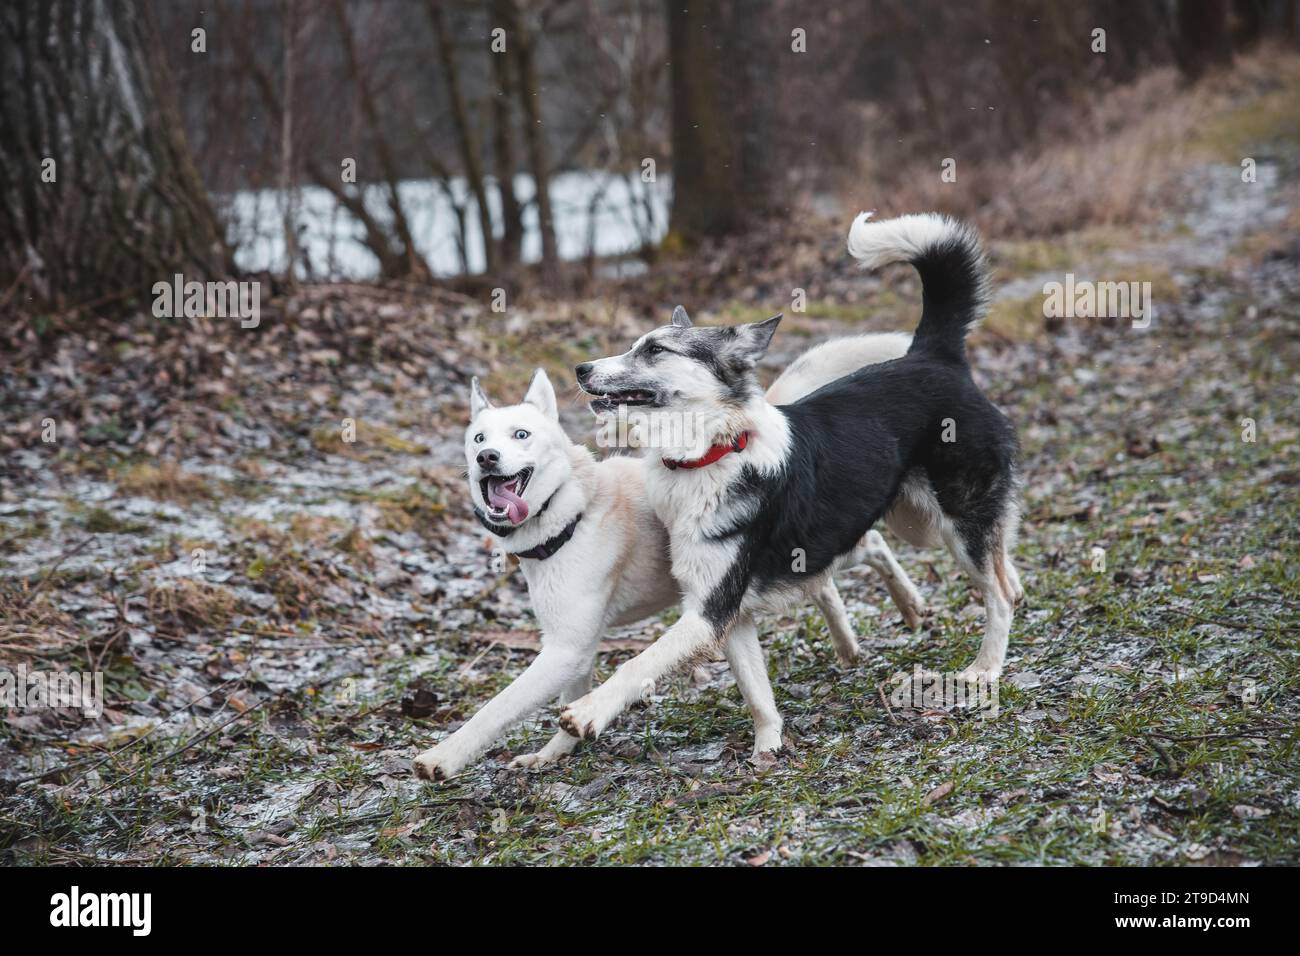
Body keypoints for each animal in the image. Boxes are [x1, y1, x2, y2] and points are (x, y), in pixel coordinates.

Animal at [410, 332, 920, 780]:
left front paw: (443, 756)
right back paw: (851, 643)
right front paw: (553, 752)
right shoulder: (575, 649)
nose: (488, 459)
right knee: (831, 577)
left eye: (521, 434)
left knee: (869, 547)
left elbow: (496, 708)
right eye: (479, 439)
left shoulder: (563, 650)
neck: (572, 509)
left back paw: (907, 605)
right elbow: (566, 700)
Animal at [564, 213, 1019, 743]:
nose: (581, 368)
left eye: (655, 349)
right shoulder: (728, 613)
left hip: (953, 520)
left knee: (996, 593)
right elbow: (755, 689)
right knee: (988, 557)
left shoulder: (710, 610)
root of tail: (931, 354)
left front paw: (587, 711)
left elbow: (639, 662)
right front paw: (768, 746)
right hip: (911, 520)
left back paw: (985, 667)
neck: (711, 453)